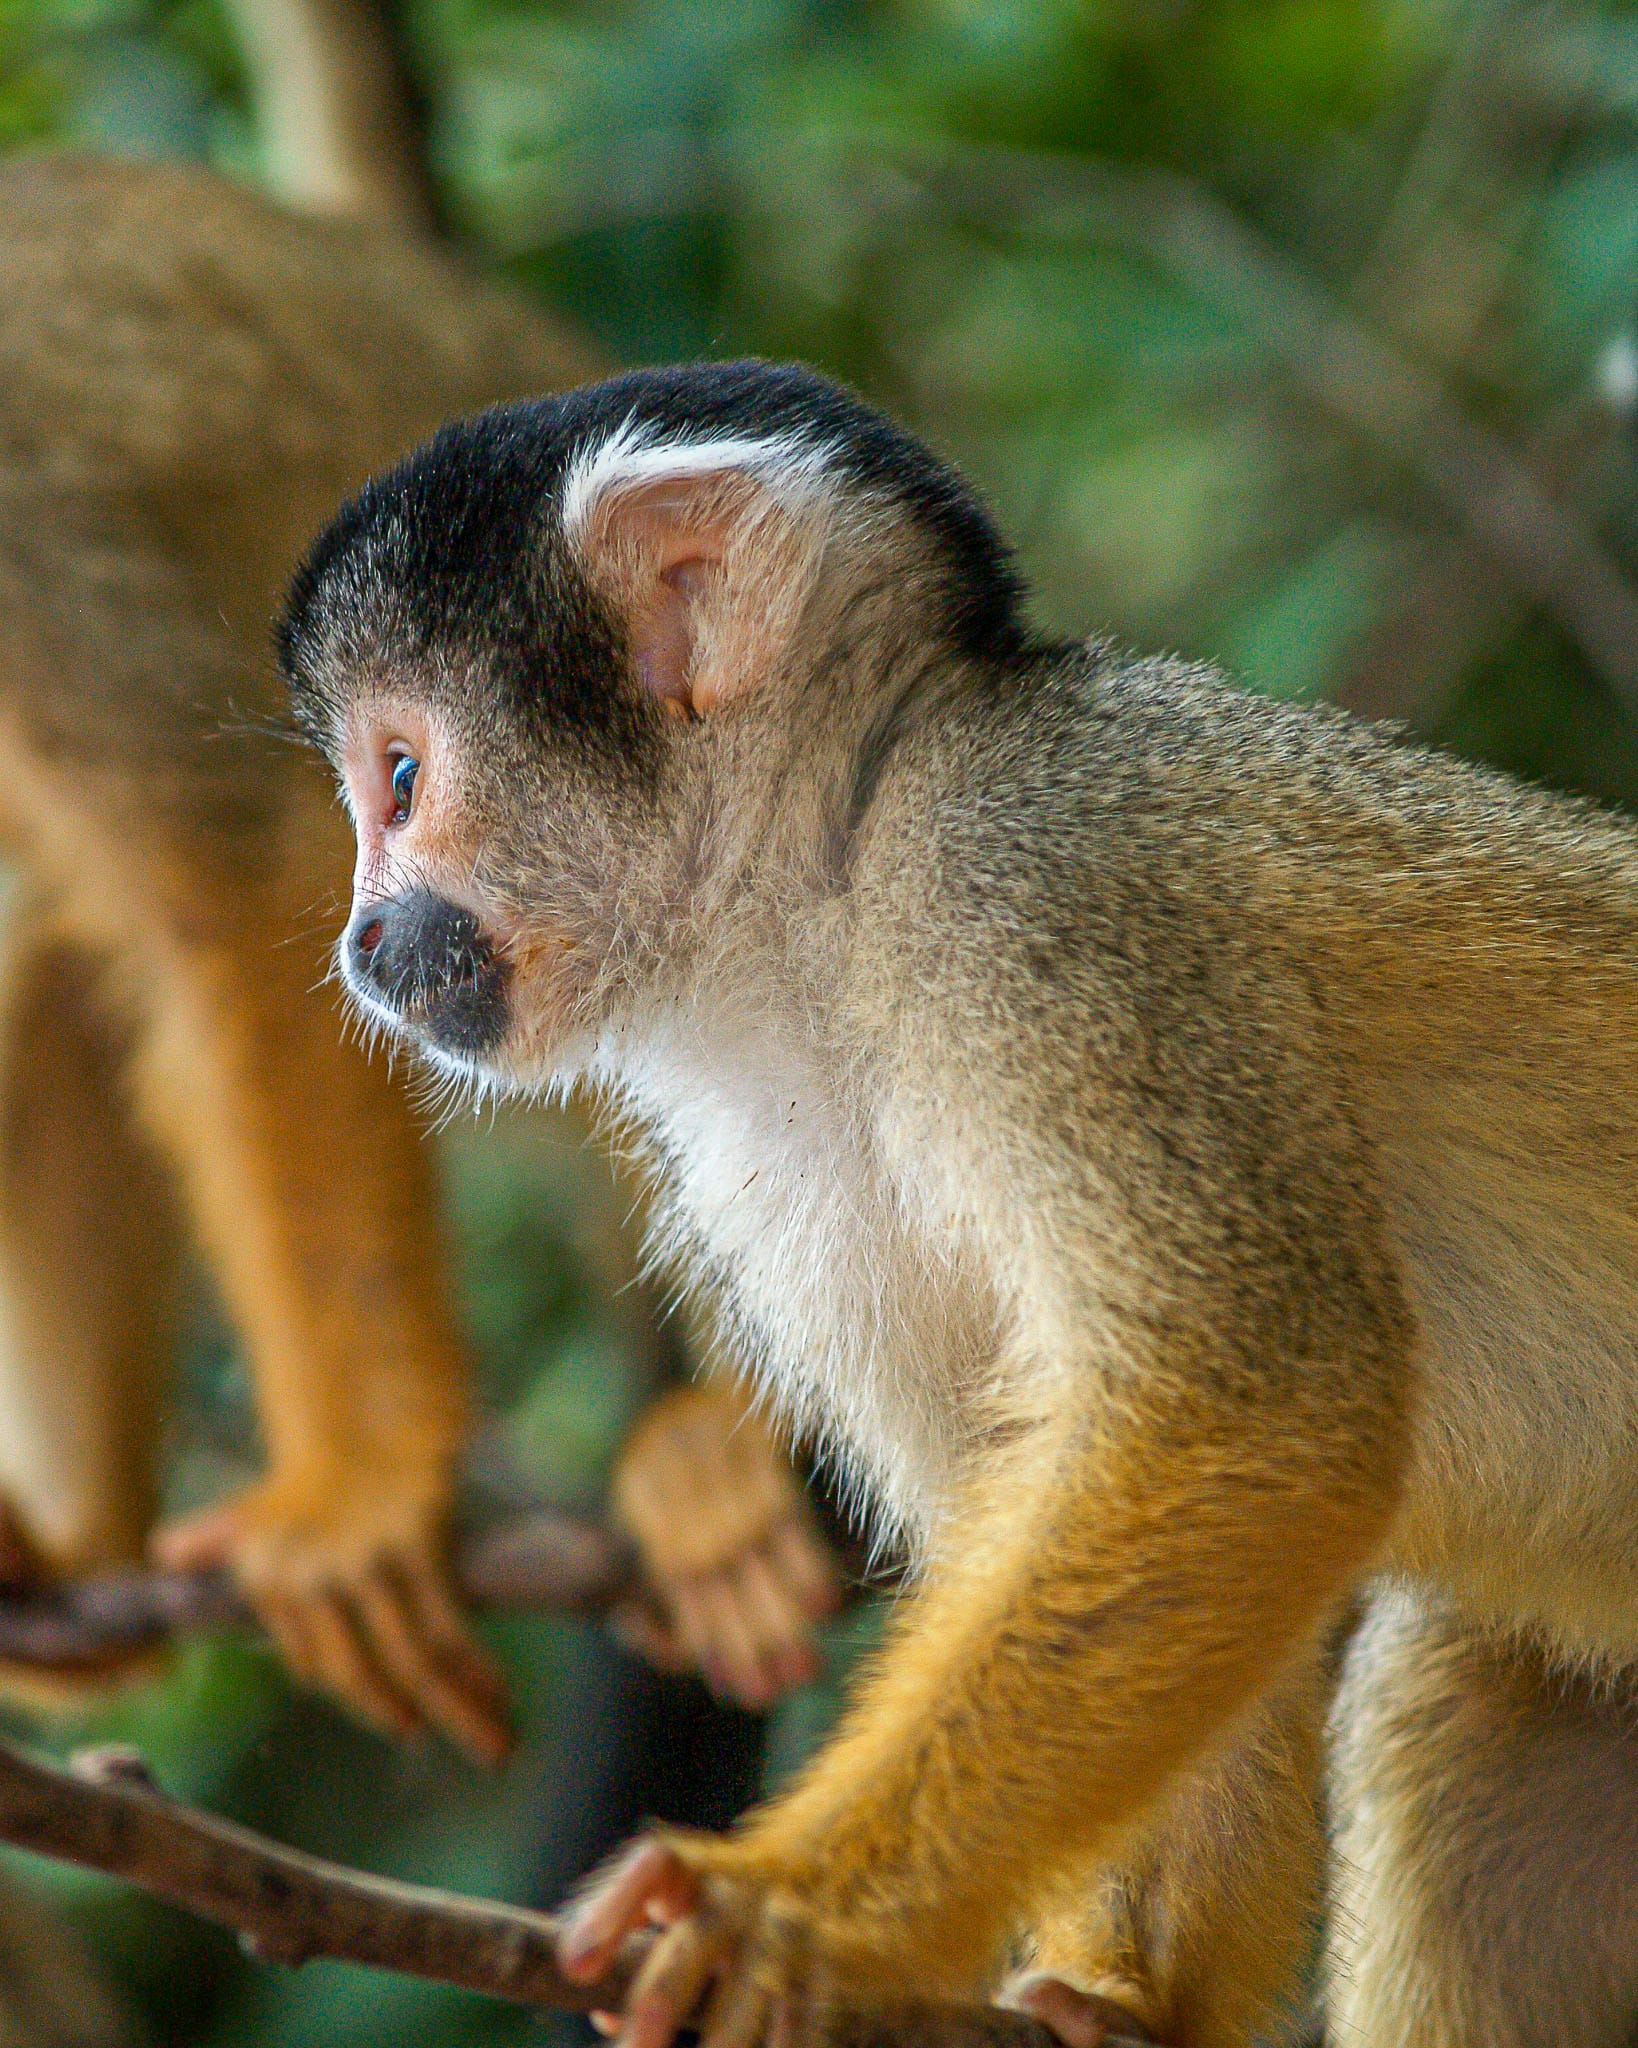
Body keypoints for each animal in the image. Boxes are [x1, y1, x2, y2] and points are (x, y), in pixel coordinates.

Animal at [277, 350, 1638, 2048]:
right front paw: (1123, 2000)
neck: (833, 887)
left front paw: (785, 1914)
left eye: (399, 780)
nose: (362, 941)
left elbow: (1251, 1414)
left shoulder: (1038, 889)